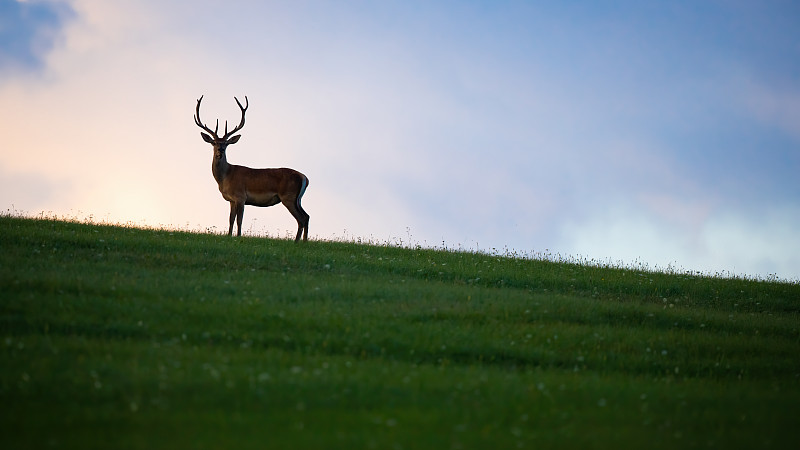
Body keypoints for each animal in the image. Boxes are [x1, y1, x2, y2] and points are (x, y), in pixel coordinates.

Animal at [194, 96, 310, 243]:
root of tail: (304, 177)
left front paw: (238, 237)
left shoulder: (240, 196)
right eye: (214, 143)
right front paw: (229, 236)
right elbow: (230, 219)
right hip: (297, 199)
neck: (225, 177)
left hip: (288, 196)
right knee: (306, 216)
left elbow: (239, 220)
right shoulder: (231, 200)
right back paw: (304, 241)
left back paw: (297, 241)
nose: (220, 150)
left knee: (301, 218)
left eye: (226, 143)